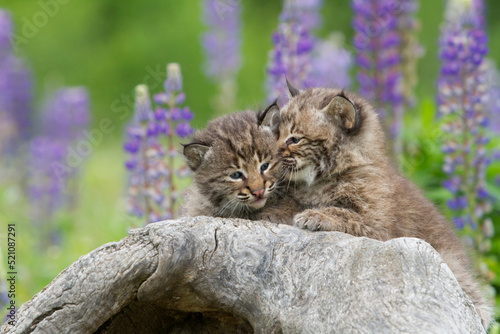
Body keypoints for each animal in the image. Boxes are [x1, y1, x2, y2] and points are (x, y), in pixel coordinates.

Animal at [260, 82, 494, 328]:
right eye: (276, 134)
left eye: (294, 139)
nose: (272, 157)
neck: (323, 178)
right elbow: (293, 202)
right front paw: (273, 211)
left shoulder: (376, 224)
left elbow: (344, 213)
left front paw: (315, 215)